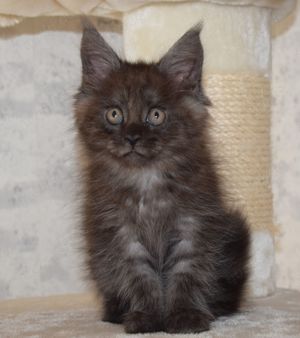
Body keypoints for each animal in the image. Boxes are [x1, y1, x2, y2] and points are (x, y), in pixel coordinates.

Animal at [74, 21, 250, 336]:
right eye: (115, 114)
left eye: (155, 115)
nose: (132, 137)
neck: (147, 180)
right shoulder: (121, 233)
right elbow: (140, 277)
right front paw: (147, 317)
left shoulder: (194, 225)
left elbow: (186, 273)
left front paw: (185, 316)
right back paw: (115, 312)